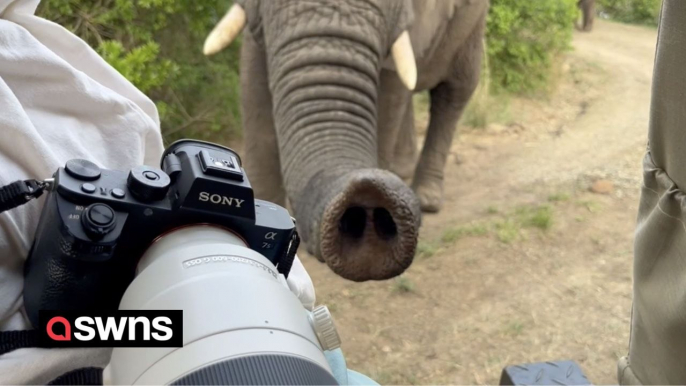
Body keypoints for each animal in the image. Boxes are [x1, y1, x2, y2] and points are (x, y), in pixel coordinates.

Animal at [202, 0, 492, 280]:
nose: (367, 198)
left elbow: (390, 90)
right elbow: (254, 85)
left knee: (454, 93)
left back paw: (427, 197)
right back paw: (402, 171)